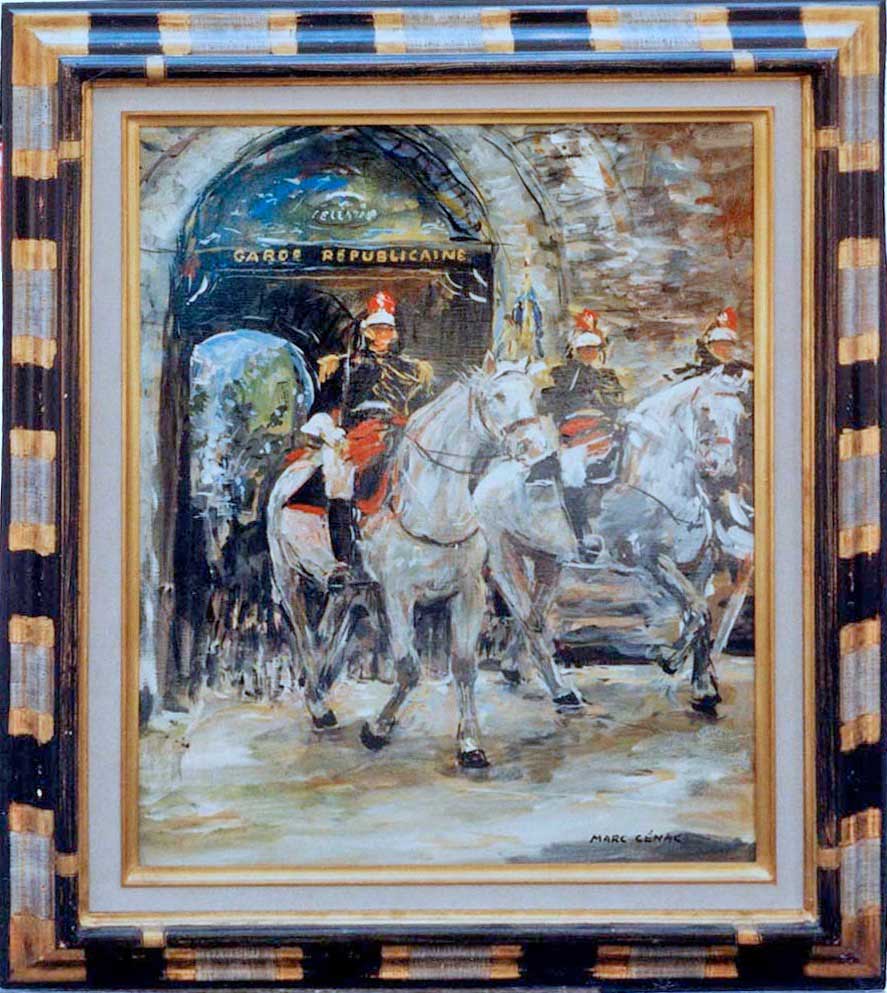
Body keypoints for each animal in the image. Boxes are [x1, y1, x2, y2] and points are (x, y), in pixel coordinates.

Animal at [266, 354, 583, 768]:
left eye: (534, 395)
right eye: (497, 396)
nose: (541, 459)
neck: (432, 503)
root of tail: (294, 469)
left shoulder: (469, 592)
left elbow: (464, 665)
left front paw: (470, 744)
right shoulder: (399, 595)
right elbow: (409, 666)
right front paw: (378, 729)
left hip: (350, 588)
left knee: (330, 628)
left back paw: (321, 687)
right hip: (286, 576)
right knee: (303, 635)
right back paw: (319, 707)